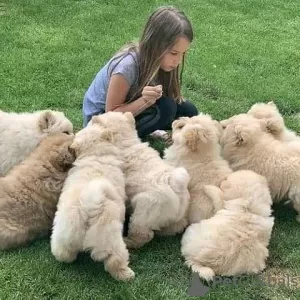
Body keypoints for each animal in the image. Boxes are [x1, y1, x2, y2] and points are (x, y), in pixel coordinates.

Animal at [50, 119, 134, 282]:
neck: (95, 156)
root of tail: (89, 205)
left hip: (64, 233)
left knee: (63, 252)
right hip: (111, 240)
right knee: (115, 261)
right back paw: (126, 275)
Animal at [91, 112, 190, 248]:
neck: (126, 142)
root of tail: (177, 186)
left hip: (145, 209)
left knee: (143, 233)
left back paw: (128, 241)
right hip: (178, 214)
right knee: (176, 226)